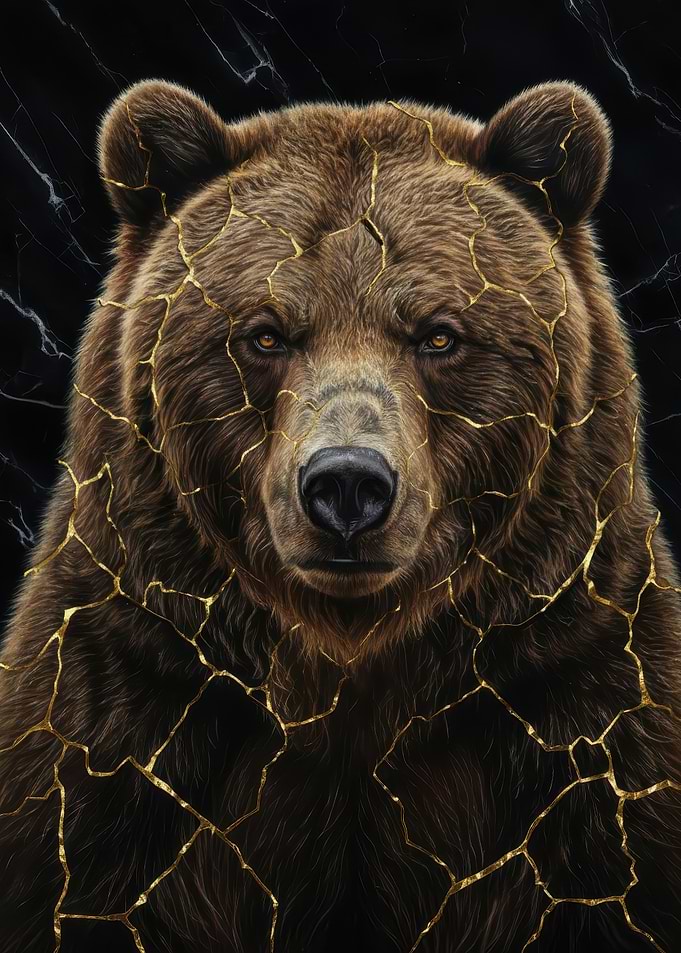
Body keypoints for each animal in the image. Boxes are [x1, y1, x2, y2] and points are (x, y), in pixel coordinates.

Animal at [1, 76, 681, 953]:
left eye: (438, 334)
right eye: (263, 334)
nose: (348, 483)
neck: (343, 668)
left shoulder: (576, 701)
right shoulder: (124, 707)